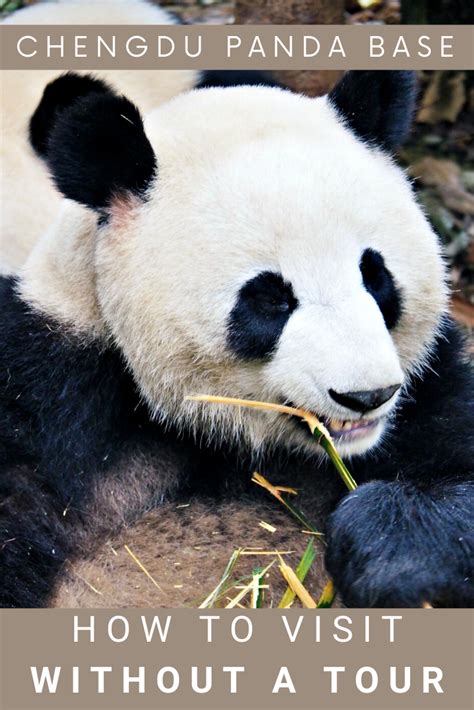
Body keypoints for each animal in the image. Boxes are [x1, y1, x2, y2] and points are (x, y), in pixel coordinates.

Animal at [1, 67, 473, 609]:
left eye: (374, 274)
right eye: (270, 299)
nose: (367, 395)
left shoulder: (429, 387)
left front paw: (386, 547)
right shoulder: (48, 390)